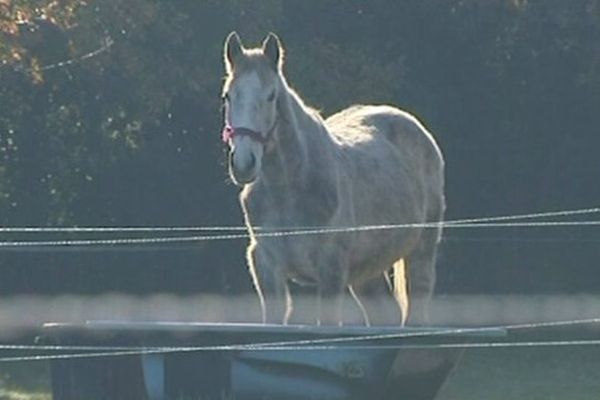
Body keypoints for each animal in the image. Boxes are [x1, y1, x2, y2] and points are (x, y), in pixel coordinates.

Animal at [221, 31, 446, 324]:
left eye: (271, 96)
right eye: (228, 96)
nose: (243, 164)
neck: (290, 187)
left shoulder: (331, 271)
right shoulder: (267, 267)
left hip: (419, 253)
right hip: (367, 271)